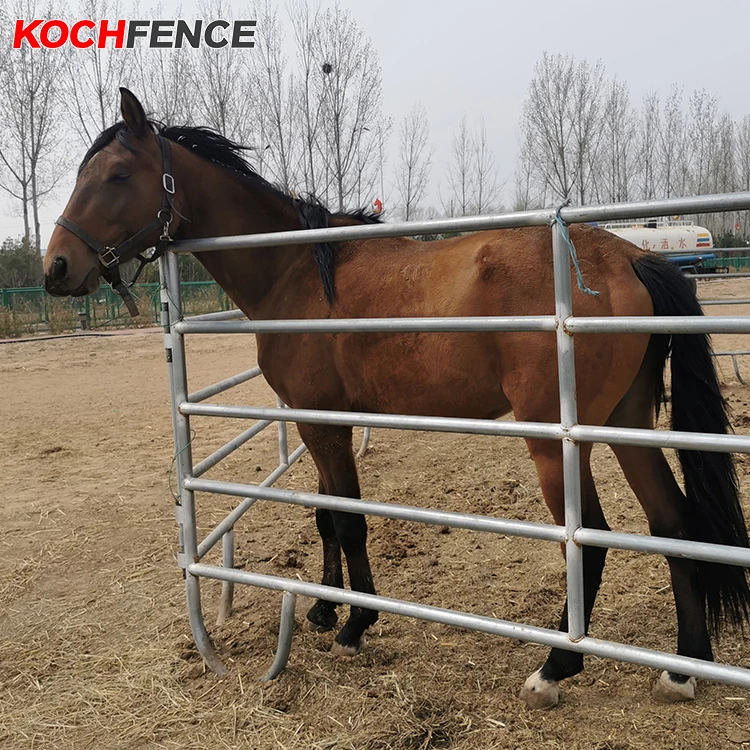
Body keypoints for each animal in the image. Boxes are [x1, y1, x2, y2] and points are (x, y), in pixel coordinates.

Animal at [44, 88, 750, 709]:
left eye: (116, 174)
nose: (56, 267)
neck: (295, 271)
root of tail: (630, 257)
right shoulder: (317, 420)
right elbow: (326, 515)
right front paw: (324, 610)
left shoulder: (324, 424)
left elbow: (350, 518)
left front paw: (355, 626)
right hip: (628, 424)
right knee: (673, 523)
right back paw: (682, 670)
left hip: (557, 441)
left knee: (591, 538)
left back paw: (554, 669)